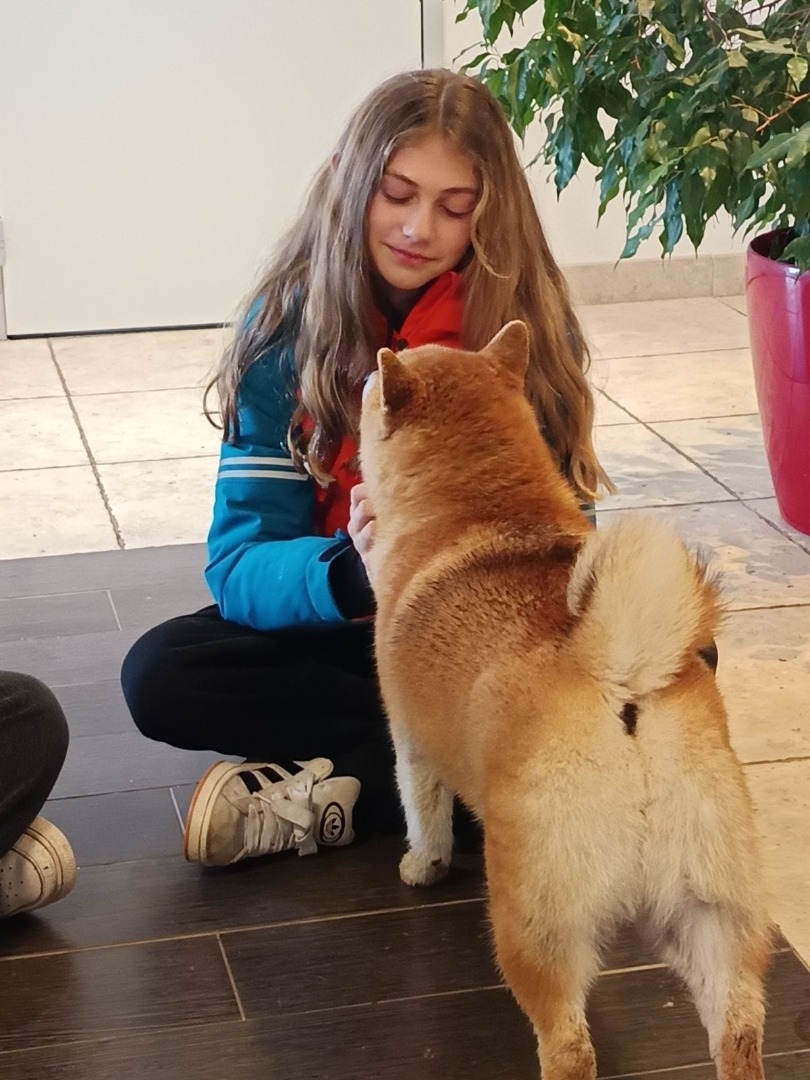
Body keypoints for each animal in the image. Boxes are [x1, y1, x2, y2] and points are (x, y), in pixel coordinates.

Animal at [359, 321, 770, 1080]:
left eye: (368, 387)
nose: (361, 379)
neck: (480, 509)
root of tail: (624, 682)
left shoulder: (412, 744)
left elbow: (425, 820)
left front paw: (422, 867)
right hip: (711, 919)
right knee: (737, 1034)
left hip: (537, 928)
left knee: (569, 1046)